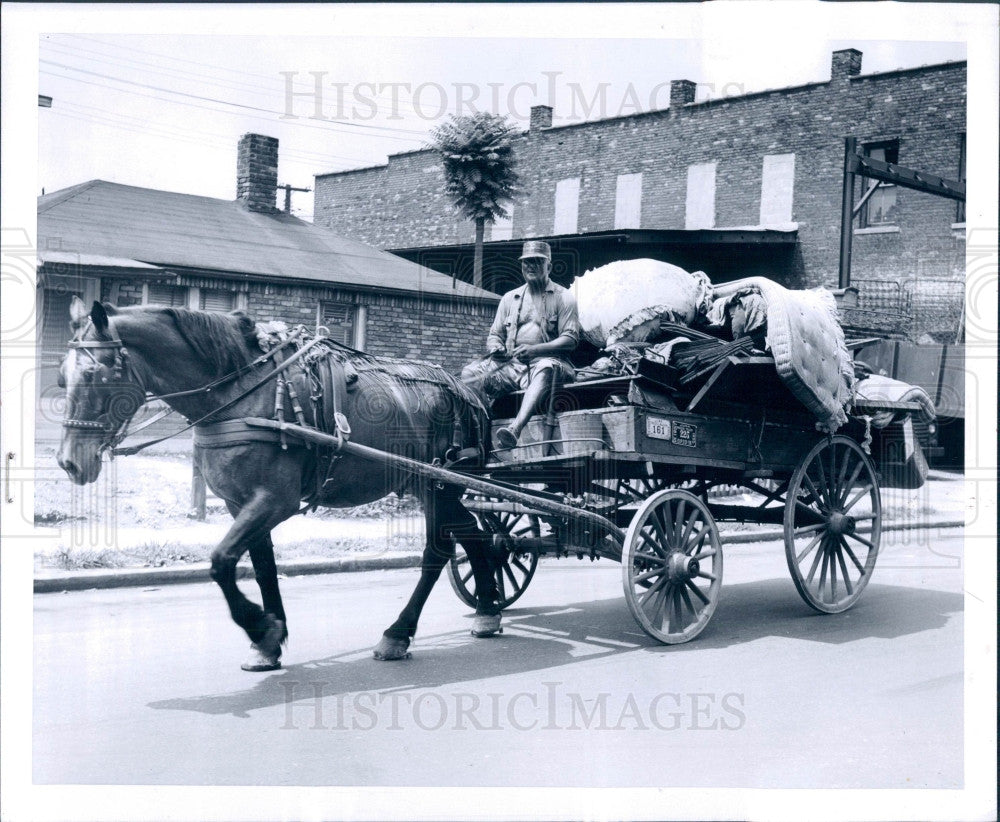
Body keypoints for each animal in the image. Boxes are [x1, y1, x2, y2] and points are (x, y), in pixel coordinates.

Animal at [53, 300, 500, 672]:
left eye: (94, 373)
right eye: (61, 378)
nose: (69, 461)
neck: (241, 392)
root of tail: (469, 393)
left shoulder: (274, 500)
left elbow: (221, 561)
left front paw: (260, 627)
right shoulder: (241, 503)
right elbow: (262, 565)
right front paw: (269, 641)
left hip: (440, 487)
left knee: (437, 552)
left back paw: (399, 633)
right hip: (431, 485)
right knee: (474, 534)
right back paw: (488, 608)